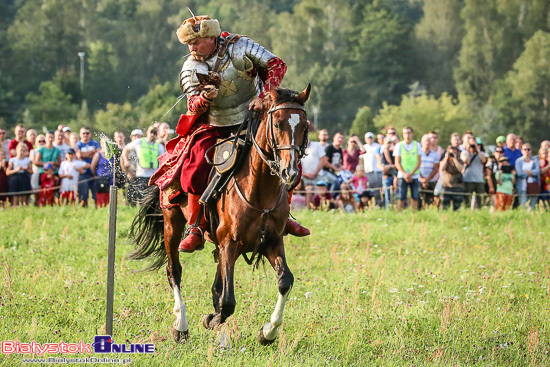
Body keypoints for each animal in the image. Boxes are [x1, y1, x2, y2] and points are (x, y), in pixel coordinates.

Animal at [128, 85, 310, 346]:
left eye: (304, 126)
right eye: (277, 124)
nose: (291, 172)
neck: (259, 189)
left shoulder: (272, 241)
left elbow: (285, 281)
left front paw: (268, 332)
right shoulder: (230, 244)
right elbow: (227, 301)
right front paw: (212, 320)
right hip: (172, 222)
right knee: (175, 271)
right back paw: (181, 326)